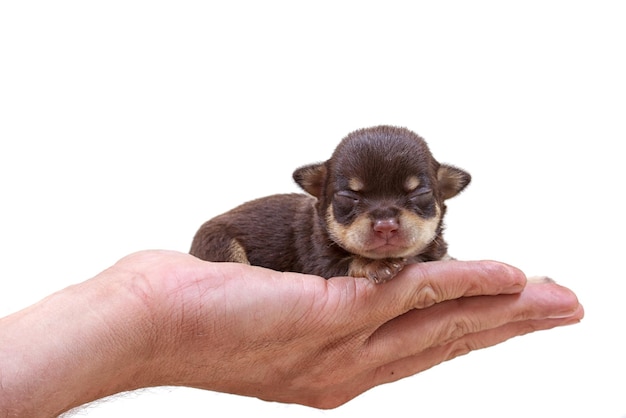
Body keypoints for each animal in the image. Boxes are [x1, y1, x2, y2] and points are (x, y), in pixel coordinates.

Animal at [189, 124, 468, 282]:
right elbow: (351, 261)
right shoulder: (319, 260)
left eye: (420, 195)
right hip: (219, 243)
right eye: (348, 198)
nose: (385, 225)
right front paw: (378, 265)